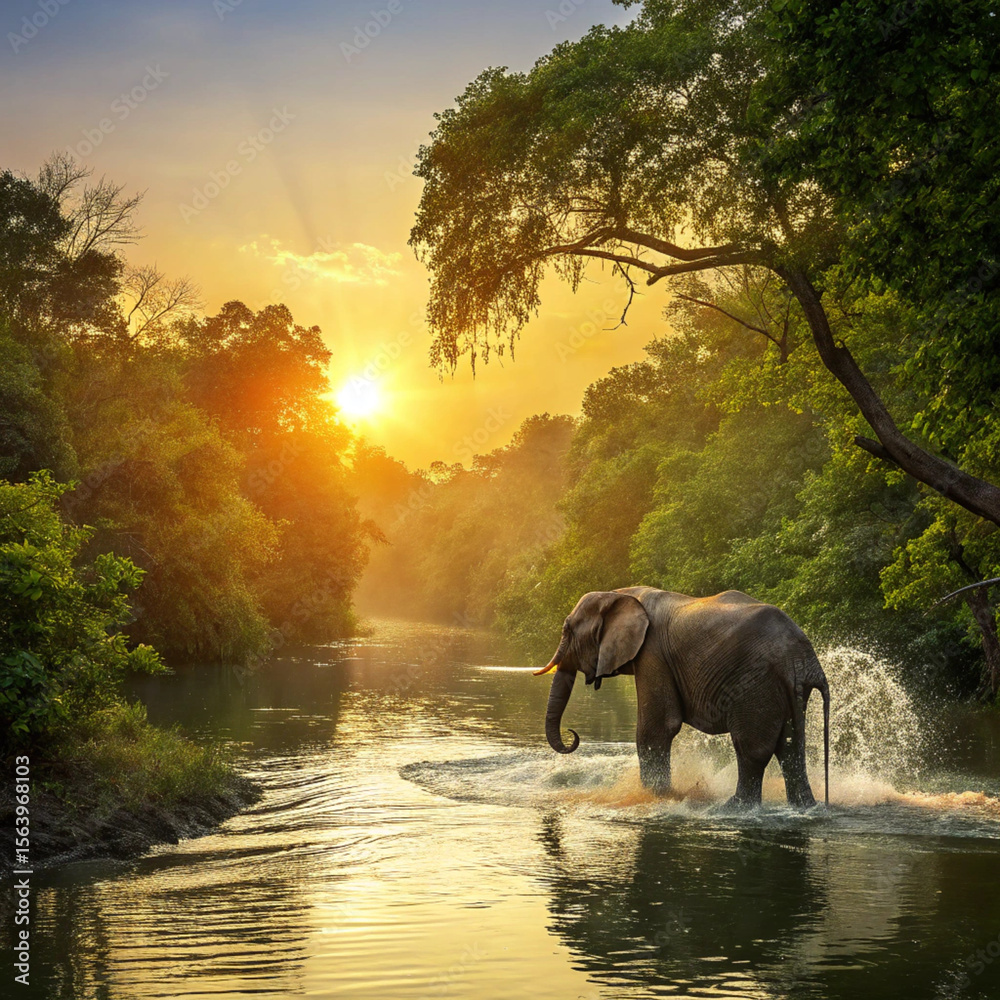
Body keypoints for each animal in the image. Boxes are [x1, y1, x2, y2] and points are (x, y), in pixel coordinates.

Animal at [535, 587, 830, 808]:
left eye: (567, 630)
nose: (573, 735)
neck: (622, 593)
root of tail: (803, 656)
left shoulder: (652, 653)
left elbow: (657, 728)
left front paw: (657, 797)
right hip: (785, 687)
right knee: (791, 746)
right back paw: (806, 807)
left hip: (756, 683)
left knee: (752, 747)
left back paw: (733, 808)